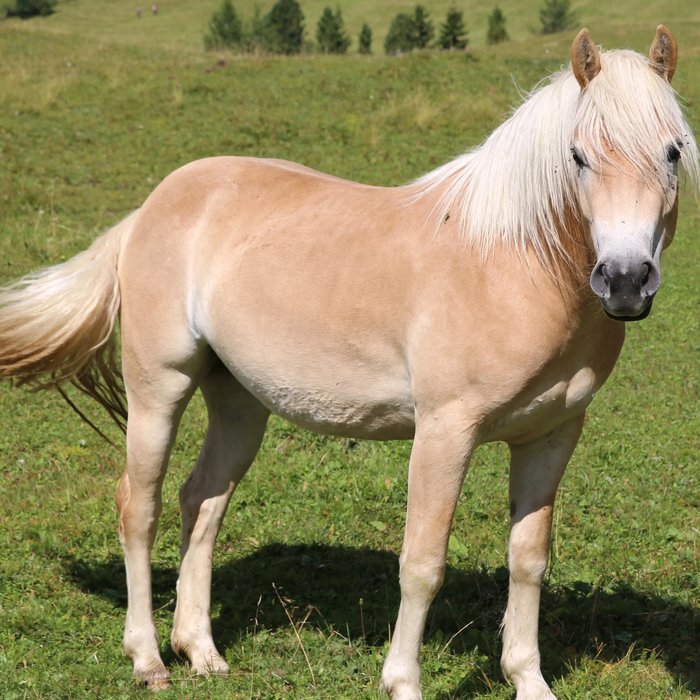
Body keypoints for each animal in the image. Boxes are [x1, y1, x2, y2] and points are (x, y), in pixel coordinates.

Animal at [0, 26, 696, 700]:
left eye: (673, 152)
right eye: (578, 156)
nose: (625, 282)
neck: (509, 265)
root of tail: (151, 207)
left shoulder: (550, 436)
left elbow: (528, 559)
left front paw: (529, 680)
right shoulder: (445, 432)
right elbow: (422, 564)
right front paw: (403, 682)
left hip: (239, 401)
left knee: (202, 502)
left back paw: (201, 652)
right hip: (158, 389)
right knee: (138, 508)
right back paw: (147, 660)